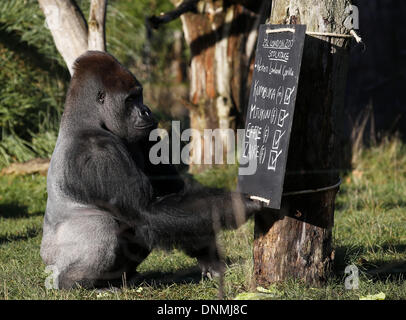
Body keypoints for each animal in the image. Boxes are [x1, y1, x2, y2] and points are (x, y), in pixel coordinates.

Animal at [40, 51, 260, 288]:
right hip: (56, 265)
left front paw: (209, 258)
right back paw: (80, 282)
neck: (88, 120)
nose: (146, 111)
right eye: (130, 100)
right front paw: (239, 204)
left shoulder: (145, 136)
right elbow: (145, 210)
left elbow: (178, 196)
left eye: (139, 96)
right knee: (102, 224)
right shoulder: (97, 152)